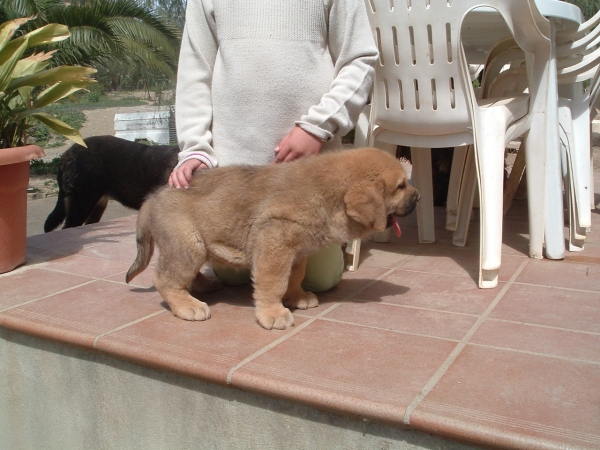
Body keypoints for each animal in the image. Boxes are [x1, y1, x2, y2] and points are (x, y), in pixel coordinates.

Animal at [125, 148, 418, 330]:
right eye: (401, 186)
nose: (418, 197)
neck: (325, 197)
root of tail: (152, 198)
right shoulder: (274, 245)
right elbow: (274, 283)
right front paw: (273, 314)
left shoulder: (297, 252)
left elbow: (295, 277)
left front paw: (297, 297)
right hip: (188, 245)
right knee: (165, 280)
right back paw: (188, 306)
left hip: (193, 248)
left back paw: (202, 285)